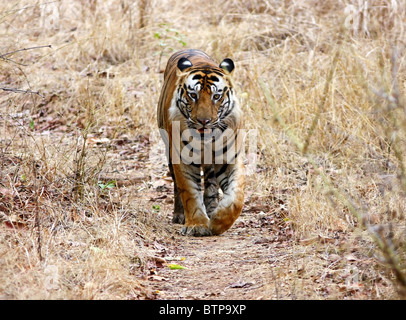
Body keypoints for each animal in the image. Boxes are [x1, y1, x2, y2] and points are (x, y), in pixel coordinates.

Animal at [156, 48, 244, 236]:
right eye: (193, 95)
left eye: (216, 96)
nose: (204, 121)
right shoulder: (182, 159)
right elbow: (190, 193)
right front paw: (197, 225)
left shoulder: (229, 157)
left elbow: (236, 198)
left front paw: (218, 221)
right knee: (177, 186)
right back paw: (180, 215)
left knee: (211, 184)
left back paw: (211, 210)